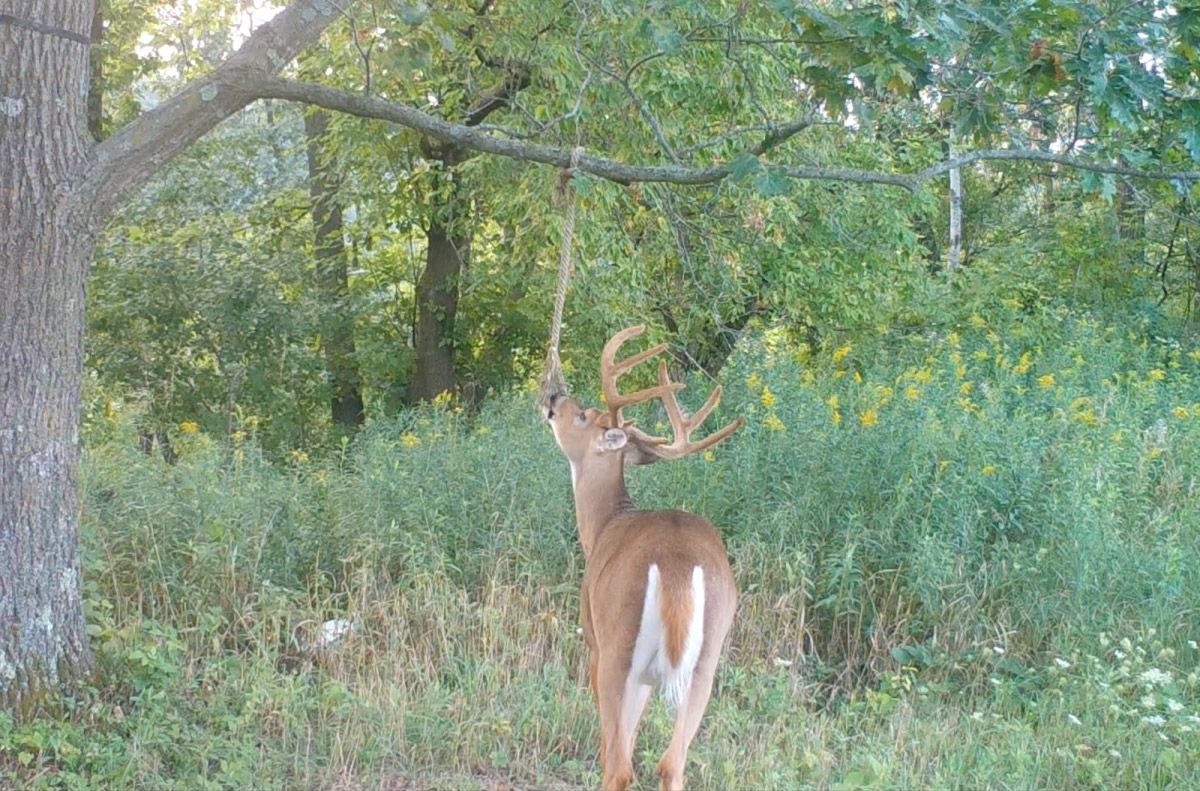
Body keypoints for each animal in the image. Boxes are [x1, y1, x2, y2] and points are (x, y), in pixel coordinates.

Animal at [543, 325, 744, 791]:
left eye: (584, 415)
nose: (554, 397)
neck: (602, 525)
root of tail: (677, 565)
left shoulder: (595, 643)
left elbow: (611, 746)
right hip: (706, 660)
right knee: (672, 762)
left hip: (619, 645)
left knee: (619, 766)